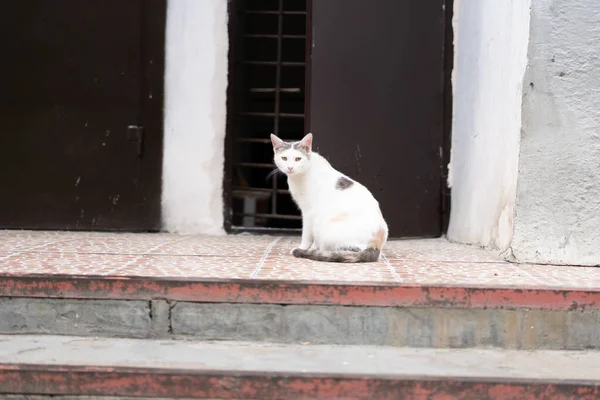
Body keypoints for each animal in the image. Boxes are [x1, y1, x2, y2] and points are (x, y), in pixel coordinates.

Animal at [270, 134, 390, 262]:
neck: (299, 177)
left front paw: (304, 248)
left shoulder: (309, 213)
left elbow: (307, 234)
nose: (290, 167)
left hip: (328, 231)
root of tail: (377, 245)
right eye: (284, 158)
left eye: (298, 159)